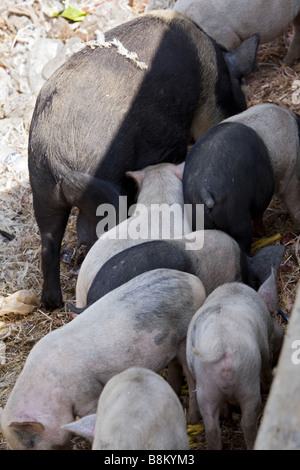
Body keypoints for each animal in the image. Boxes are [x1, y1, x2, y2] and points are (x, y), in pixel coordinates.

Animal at [27, 9, 258, 310]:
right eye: (237, 84)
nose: (243, 105)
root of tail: (55, 154)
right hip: (105, 182)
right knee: (88, 235)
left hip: (42, 190)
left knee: (49, 243)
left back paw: (52, 302)